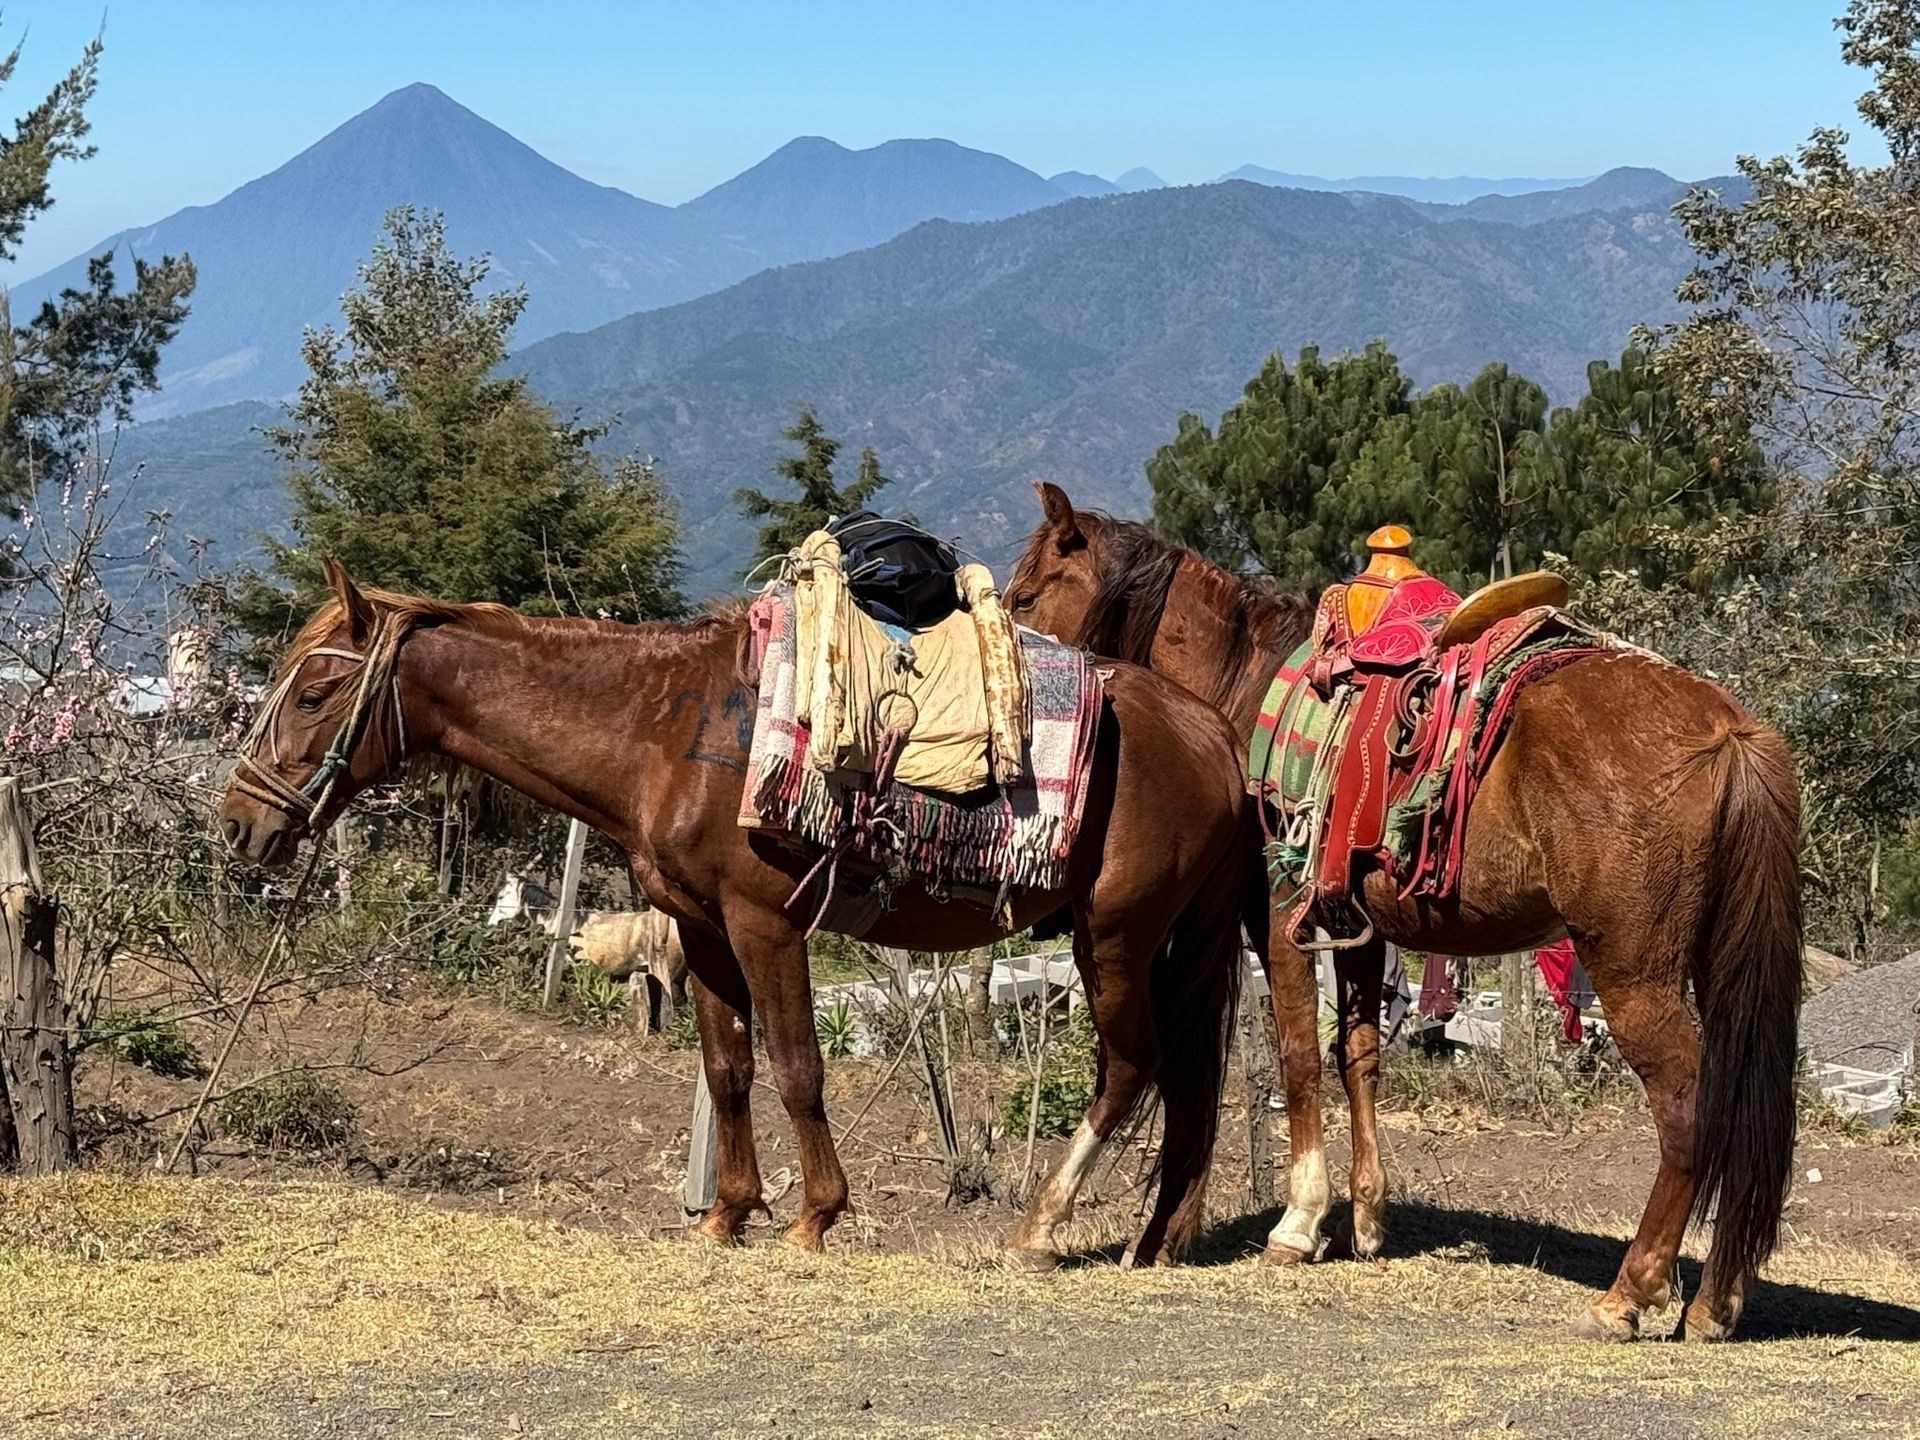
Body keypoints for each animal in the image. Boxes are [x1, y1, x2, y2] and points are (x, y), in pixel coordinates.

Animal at [219, 559, 1255, 1267]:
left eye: (315, 693)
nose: (238, 823)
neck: (666, 730)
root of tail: (1213, 734)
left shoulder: (767, 924)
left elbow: (798, 1068)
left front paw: (816, 1214)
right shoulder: (703, 931)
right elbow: (728, 1071)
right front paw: (727, 1212)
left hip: (1114, 940)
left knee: (1131, 1071)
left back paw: (1040, 1227)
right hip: (1162, 946)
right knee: (1184, 1083)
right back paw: (1157, 1240)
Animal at [1008, 484, 1802, 1341]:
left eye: (1025, 595)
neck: (1246, 682)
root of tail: (1727, 731)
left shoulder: (1280, 914)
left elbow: (1298, 1055)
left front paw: (1299, 1223)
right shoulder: (1355, 924)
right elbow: (1358, 1054)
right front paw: (1365, 1221)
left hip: (1632, 968)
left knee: (1688, 1105)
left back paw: (1630, 1291)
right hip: (1713, 962)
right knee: (1738, 1107)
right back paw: (1713, 1300)